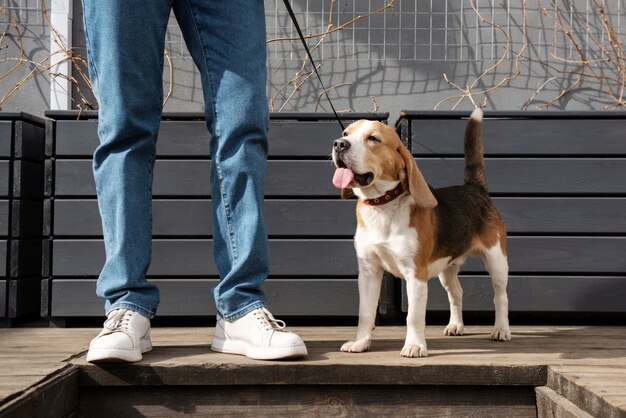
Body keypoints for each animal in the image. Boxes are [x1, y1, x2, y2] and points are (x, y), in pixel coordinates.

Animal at [332, 109, 508, 358]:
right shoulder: (368, 271)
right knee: (457, 292)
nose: (339, 144)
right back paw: (456, 325)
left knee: (500, 296)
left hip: (496, 260)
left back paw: (501, 329)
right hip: (446, 268)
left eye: (373, 138)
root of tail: (475, 188)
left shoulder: (416, 273)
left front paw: (414, 345)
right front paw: (360, 342)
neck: (383, 206)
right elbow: (365, 312)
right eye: (346, 133)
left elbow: (413, 316)